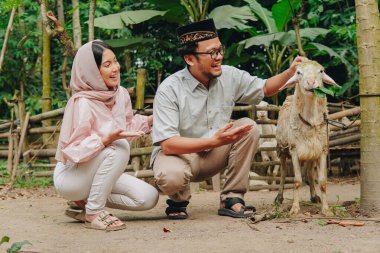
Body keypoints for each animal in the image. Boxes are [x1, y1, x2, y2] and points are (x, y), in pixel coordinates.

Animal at [274, 59, 336, 215]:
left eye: (321, 71)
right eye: (298, 72)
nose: (311, 82)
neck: (311, 122)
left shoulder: (321, 150)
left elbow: (322, 181)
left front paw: (326, 209)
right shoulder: (294, 150)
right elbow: (296, 180)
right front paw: (295, 208)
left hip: (310, 154)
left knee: (309, 174)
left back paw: (314, 196)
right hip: (282, 150)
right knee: (283, 173)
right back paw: (279, 197)